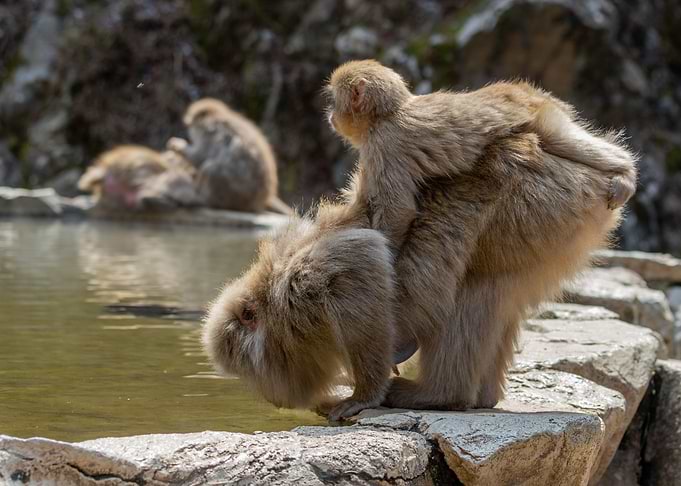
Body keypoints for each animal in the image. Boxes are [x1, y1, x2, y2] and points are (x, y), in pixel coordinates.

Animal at [326, 59, 637, 250]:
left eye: (335, 100)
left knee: (562, 140)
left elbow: (398, 211)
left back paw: (624, 172)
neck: (386, 115)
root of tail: (525, 91)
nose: (330, 113)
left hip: (541, 116)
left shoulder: (385, 146)